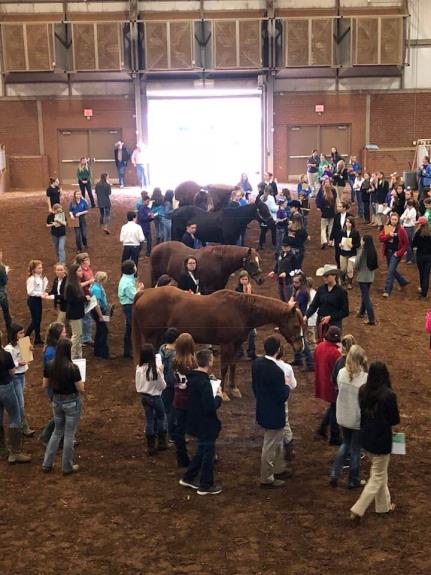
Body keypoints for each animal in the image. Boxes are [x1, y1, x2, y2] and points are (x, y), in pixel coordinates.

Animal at [132, 286, 304, 400]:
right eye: (296, 325)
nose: (300, 347)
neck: (241, 310)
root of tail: (144, 293)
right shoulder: (226, 345)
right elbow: (224, 367)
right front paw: (223, 392)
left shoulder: (236, 344)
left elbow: (233, 365)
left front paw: (233, 388)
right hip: (152, 338)